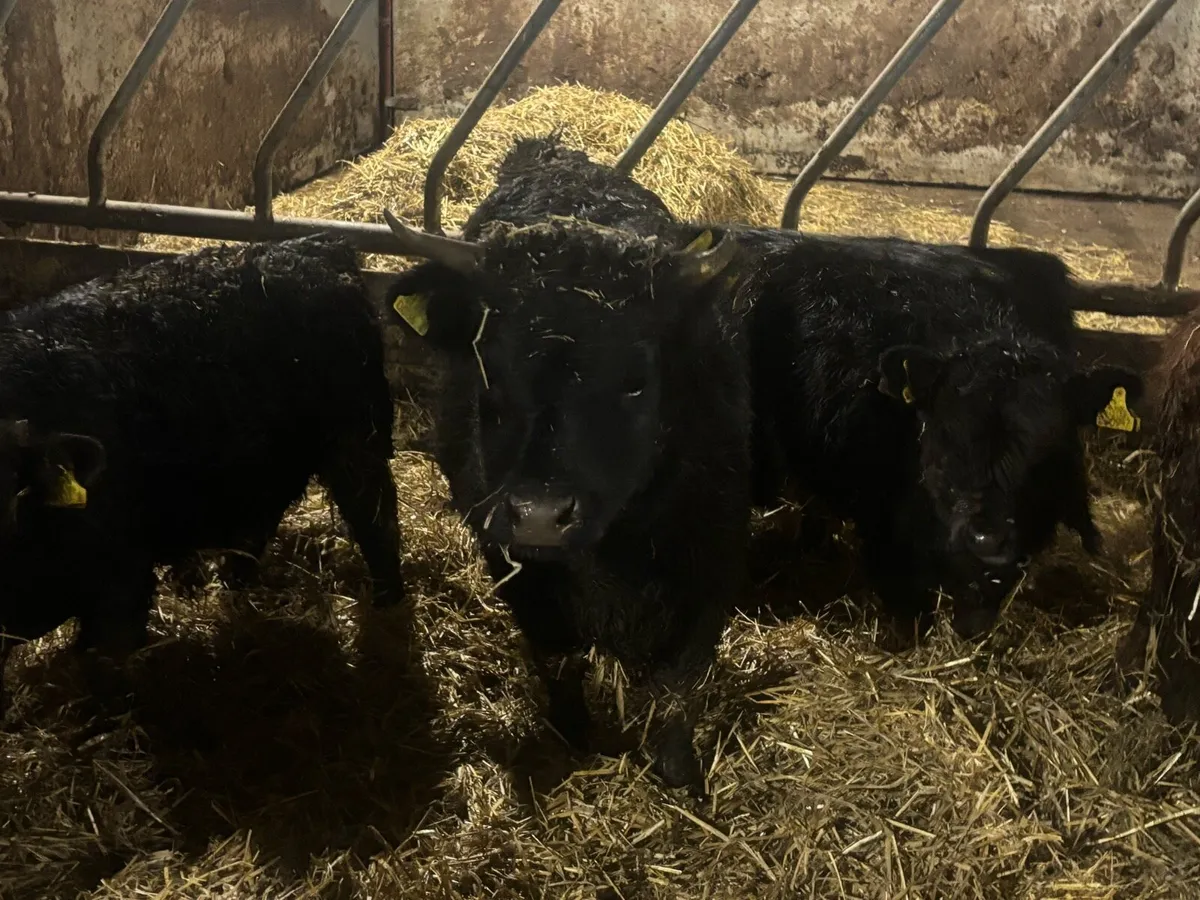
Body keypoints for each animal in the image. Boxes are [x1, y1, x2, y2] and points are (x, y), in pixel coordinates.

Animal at [0, 234, 405, 714]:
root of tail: (318, 246)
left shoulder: (122, 567)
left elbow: (105, 659)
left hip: (357, 436)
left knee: (376, 518)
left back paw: (388, 608)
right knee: (258, 523)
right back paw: (230, 585)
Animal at [382, 212, 750, 790]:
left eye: (636, 382)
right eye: (489, 372)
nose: (539, 517)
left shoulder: (715, 559)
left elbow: (681, 684)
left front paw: (679, 774)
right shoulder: (510, 561)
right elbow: (558, 658)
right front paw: (574, 740)